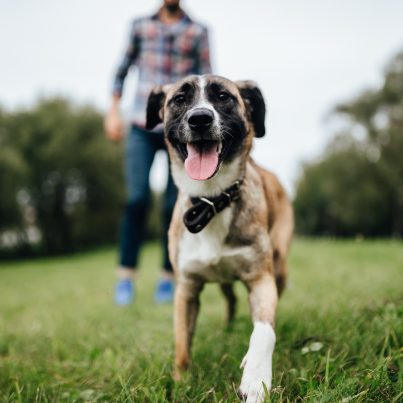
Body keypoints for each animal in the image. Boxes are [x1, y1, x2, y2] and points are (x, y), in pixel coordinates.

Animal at [145, 75, 294, 400]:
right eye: (179, 99)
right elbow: (182, 345)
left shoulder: (261, 279)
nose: (200, 118)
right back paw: (227, 329)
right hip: (224, 281)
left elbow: (264, 331)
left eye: (224, 97)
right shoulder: (186, 289)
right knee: (231, 300)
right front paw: (181, 383)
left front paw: (256, 379)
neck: (211, 201)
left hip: (279, 266)